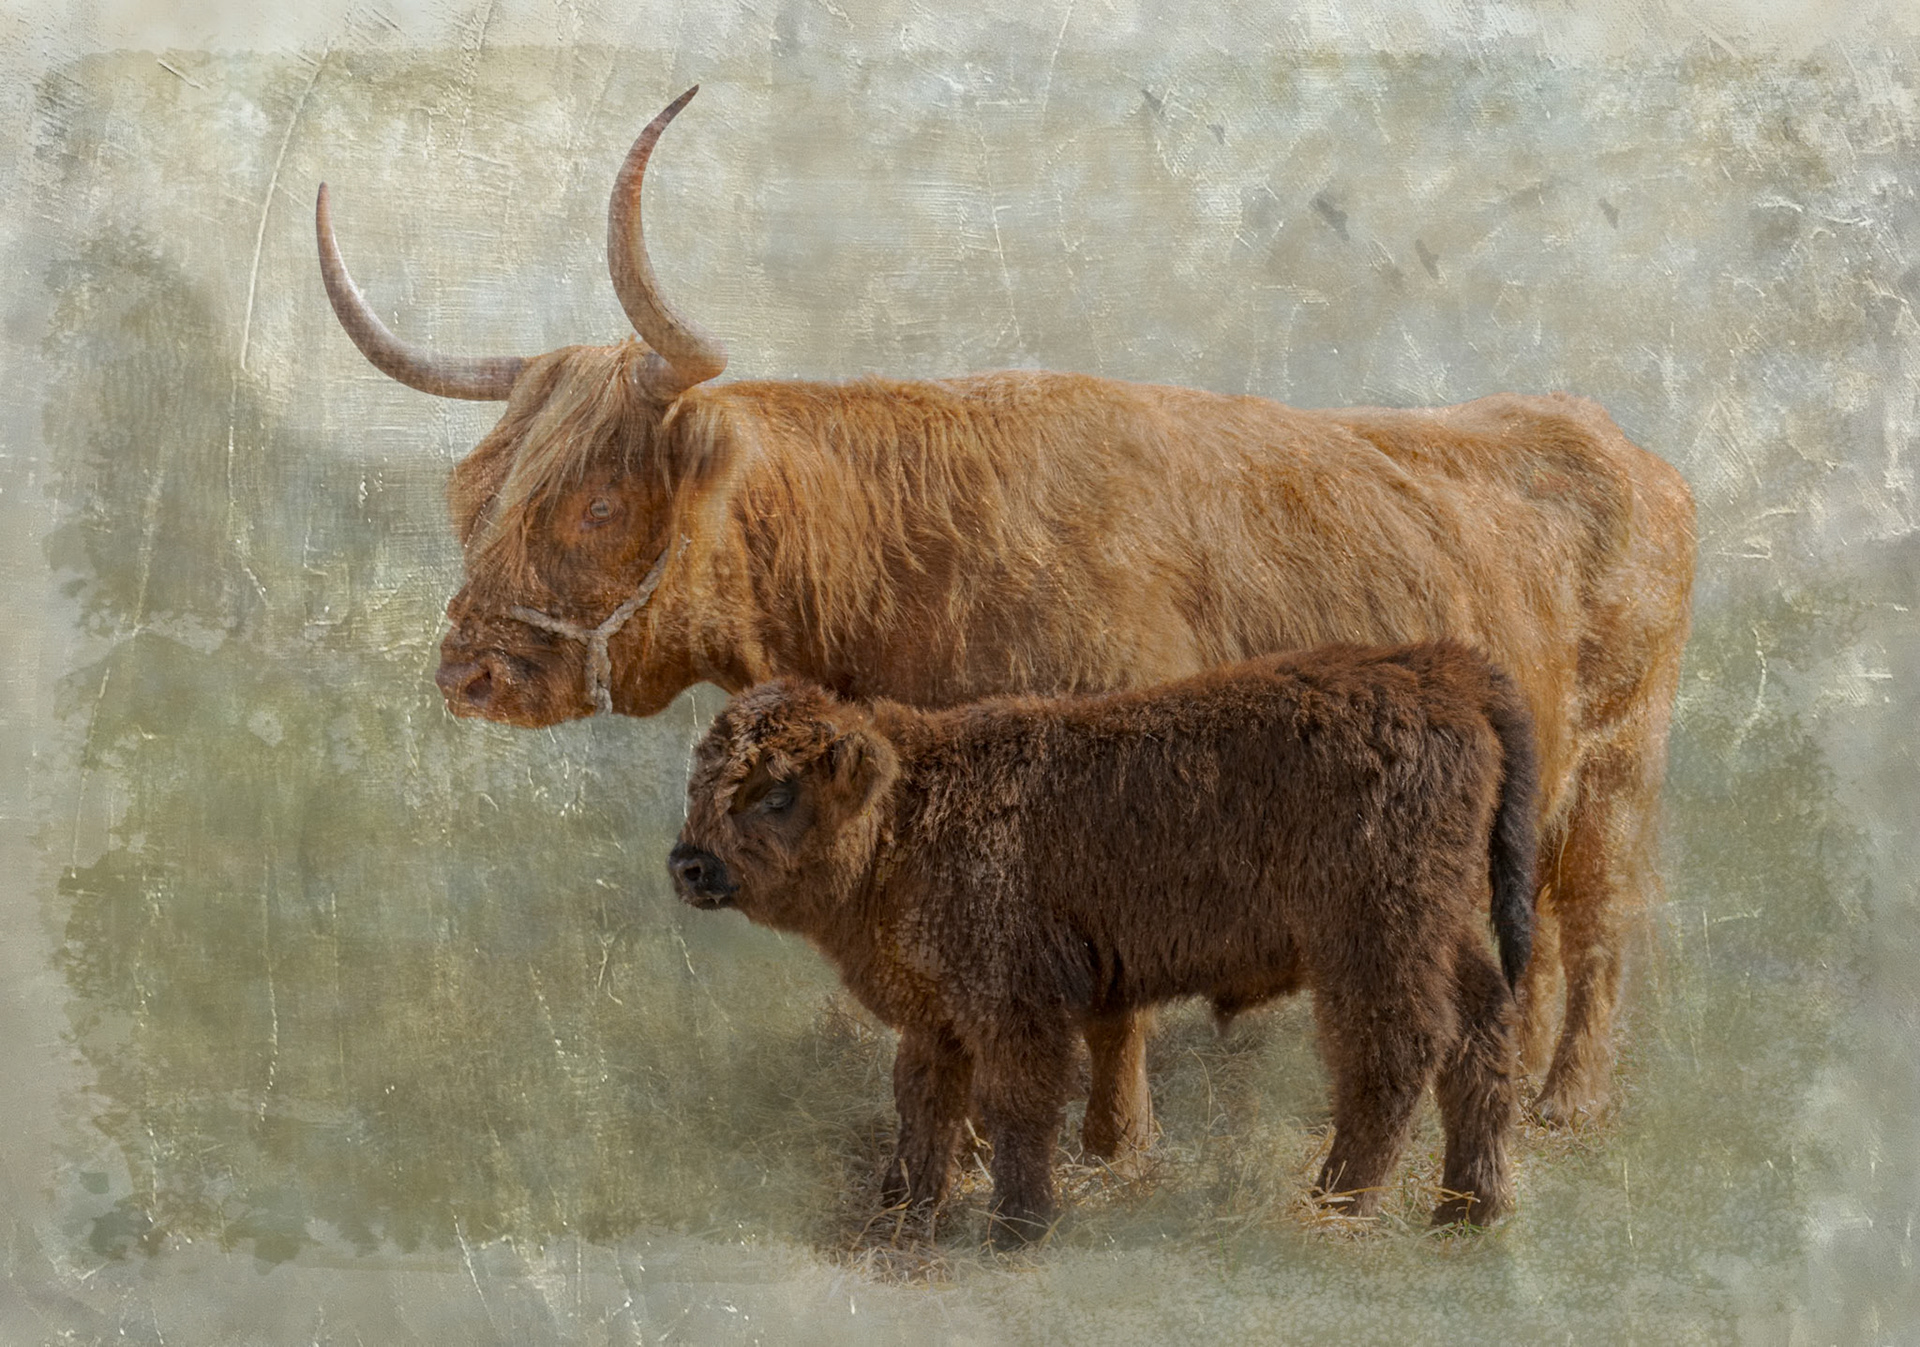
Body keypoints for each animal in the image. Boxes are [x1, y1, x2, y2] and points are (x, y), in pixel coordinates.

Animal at [316, 86, 1695, 1155]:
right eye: (473, 492)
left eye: (598, 502)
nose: (469, 671)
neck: (908, 578)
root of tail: (1603, 436)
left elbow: (1111, 998)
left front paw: (1110, 1148)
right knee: (1532, 932)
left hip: (1622, 763)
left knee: (1601, 920)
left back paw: (1566, 1107)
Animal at [669, 642, 1540, 1244]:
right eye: (700, 781)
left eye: (776, 790)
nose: (689, 864)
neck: (911, 806)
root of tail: (1441, 670)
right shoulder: (935, 1015)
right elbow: (924, 1107)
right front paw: (903, 1212)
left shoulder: (1015, 1009)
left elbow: (1017, 1106)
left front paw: (1016, 1227)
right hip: (1441, 932)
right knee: (1481, 1036)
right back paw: (1470, 1210)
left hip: (1372, 941)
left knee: (1393, 1054)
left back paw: (1333, 1205)